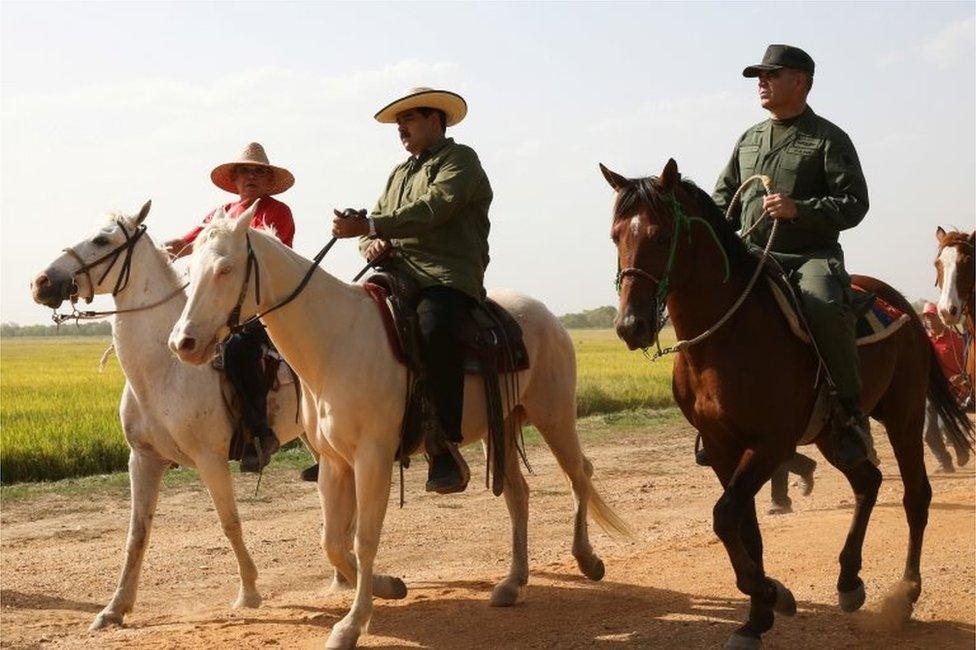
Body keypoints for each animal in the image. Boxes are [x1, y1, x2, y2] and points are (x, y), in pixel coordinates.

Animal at [30, 201, 304, 628]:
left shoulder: (211, 460)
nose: (42, 282)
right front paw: (114, 609)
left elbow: (230, 522)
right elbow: (136, 534)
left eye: (102, 240)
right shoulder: (143, 459)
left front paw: (249, 592)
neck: (164, 369)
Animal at [170, 206, 632, 648]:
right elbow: (333, 541)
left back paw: (587, 559)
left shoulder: (372, 457)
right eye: (191, 269)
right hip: (498, 427)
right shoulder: (334, 462)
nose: (182, 343)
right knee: (519, 494)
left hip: (554, 414)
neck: (335, 342)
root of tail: (544, 314)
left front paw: (352, 624)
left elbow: (364, 538)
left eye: (225, 268)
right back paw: (512, 583)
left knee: (579, 474)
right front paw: (388, 587)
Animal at [600, 158, 972, 648]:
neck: (725, 336)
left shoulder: (770, 443)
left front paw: (772, 594)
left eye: (661, 235)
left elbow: (724, 517)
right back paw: (849, 581)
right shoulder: (722, 446)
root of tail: (906, 309)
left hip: (904, 417)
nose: (631, 325)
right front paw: (758, 616)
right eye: (616, 236)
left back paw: (906, 592)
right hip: (833, 435)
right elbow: (744, 527)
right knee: (868, 482)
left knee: (916, 496)